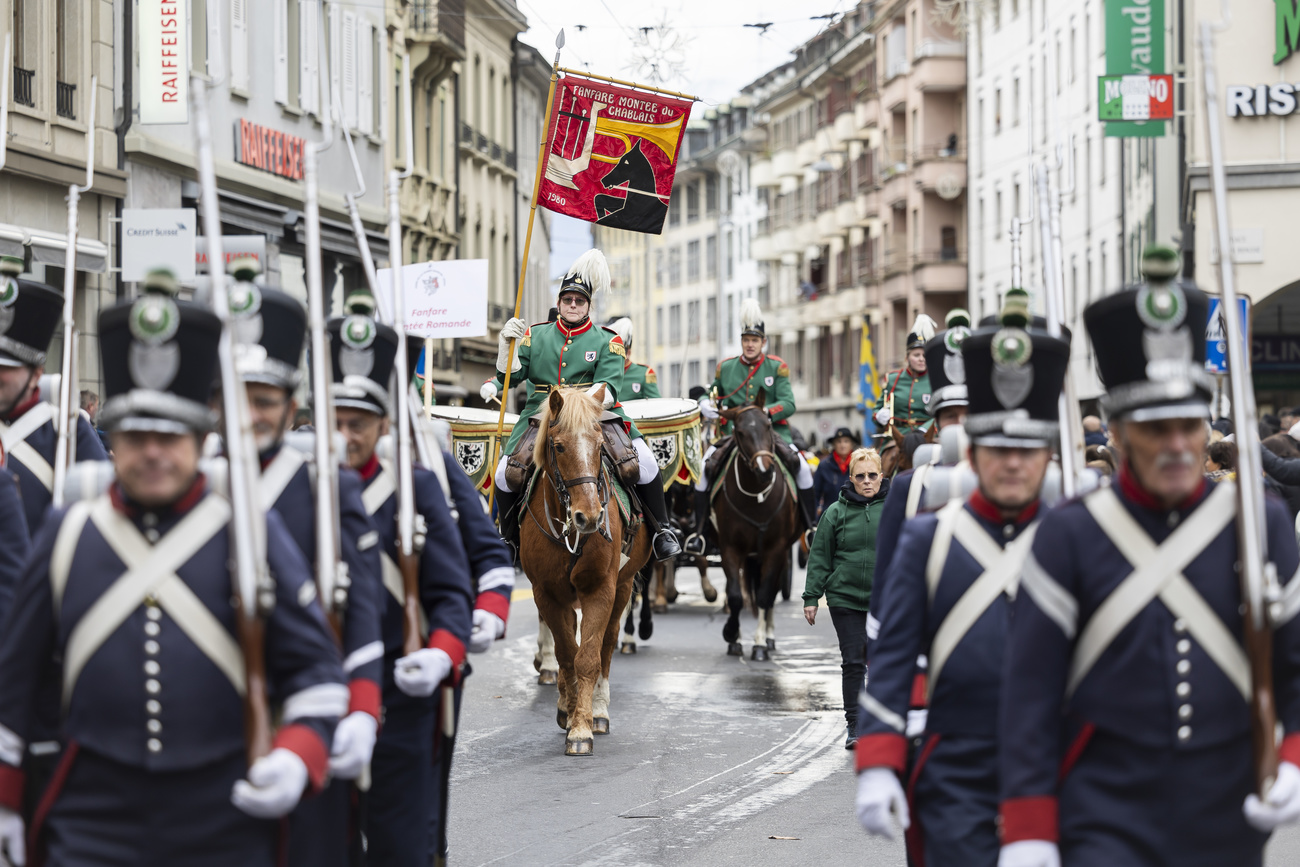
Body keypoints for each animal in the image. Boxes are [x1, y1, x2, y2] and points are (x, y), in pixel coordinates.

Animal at [522, 387, 655, 753]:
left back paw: (598, 711)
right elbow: (568, 655)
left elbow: (588, 657)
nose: (591, 517)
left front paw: (582, 727)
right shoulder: (547, 593)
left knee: (607, 646)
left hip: (623, 586)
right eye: (558, 446)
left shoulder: (601, 588)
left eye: (599, 445)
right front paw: (570, 714)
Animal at [712, 402, 800, 660]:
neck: (756, 496)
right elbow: (735, 596)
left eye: (768, 426)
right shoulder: (730, 549)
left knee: (770, 592)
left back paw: (769, 638)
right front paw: (732, 635)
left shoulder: (776, 549)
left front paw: (760, 643)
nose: (764, 471)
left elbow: (763, 595)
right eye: (740, 432)